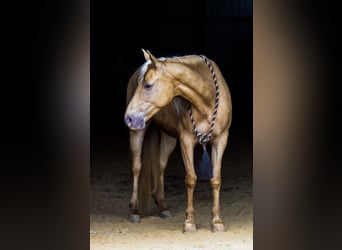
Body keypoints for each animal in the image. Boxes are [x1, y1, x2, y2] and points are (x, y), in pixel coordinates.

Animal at [123, 49, 232, 233]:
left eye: (148, 85)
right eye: (140, 84)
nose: (128, 118)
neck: (206, 100)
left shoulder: (221, 141)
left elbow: (216, 179)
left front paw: (217, 222)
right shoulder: (186, 141)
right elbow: (191, 179)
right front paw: (189, 223)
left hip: (168, 137)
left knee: (160, 165)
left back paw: (163, 208)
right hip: (138, 130)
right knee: (137, 167)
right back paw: (135, 211)